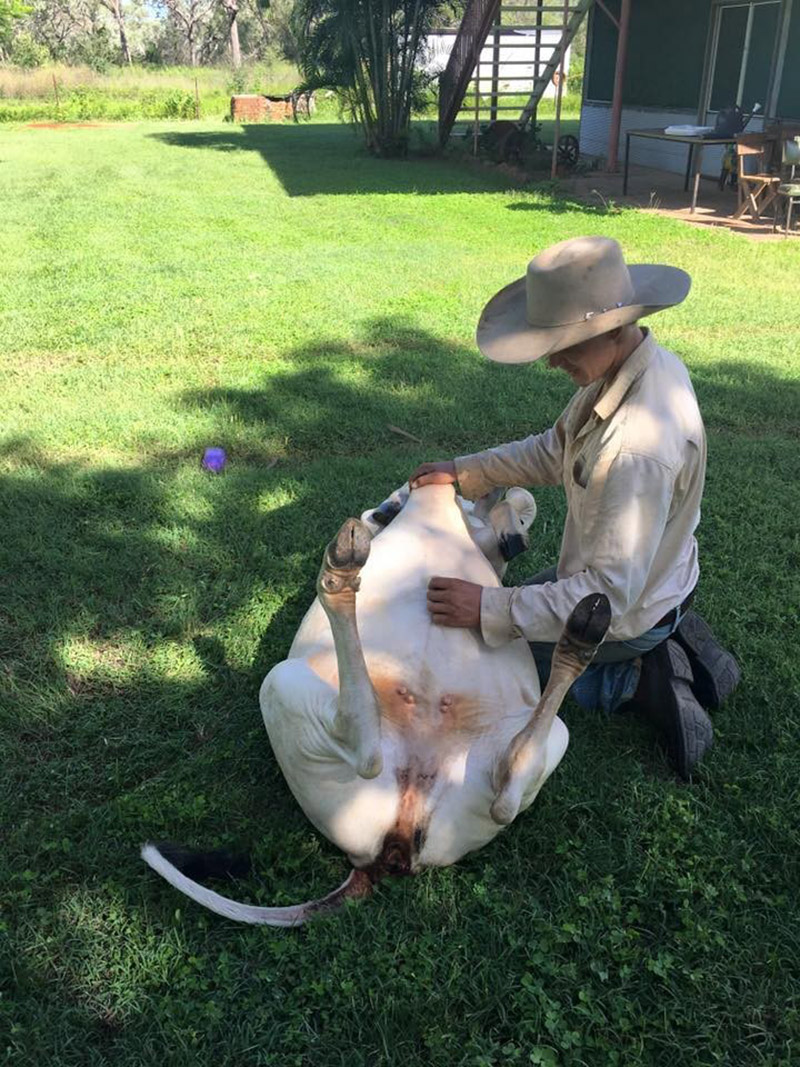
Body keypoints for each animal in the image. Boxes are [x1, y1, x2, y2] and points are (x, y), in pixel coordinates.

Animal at [144, 484, 610, 926]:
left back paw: (582, 631)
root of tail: (389, 853)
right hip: (283, 688)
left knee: (498, 787)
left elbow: (508, 501)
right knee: (384, 753)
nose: (386, 511)